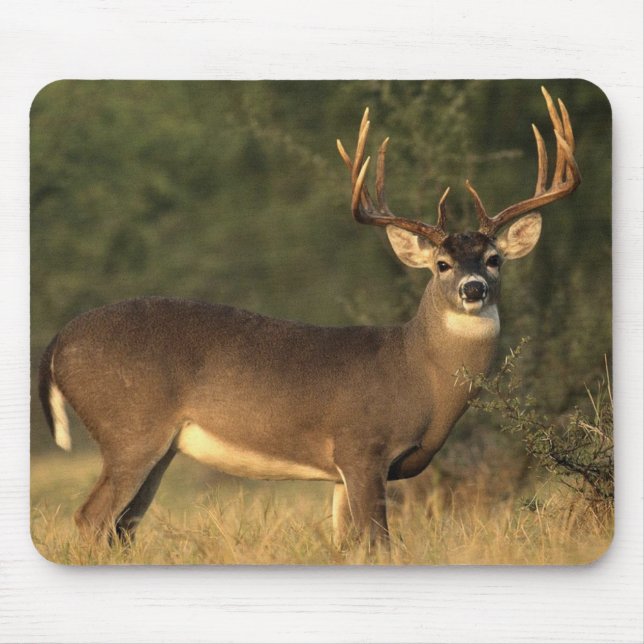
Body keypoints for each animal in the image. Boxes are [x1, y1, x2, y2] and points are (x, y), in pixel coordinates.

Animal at [38, 87, 580, 549]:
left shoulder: (342, 472)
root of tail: (57, 342)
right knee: (91, 518)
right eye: (442, 264)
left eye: (494, 259)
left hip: (159, 448)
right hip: (130, 429)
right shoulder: (362, 447)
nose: (473, 289)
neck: (419, 375)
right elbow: (379, 544)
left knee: (122, 528)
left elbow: (349, 546)